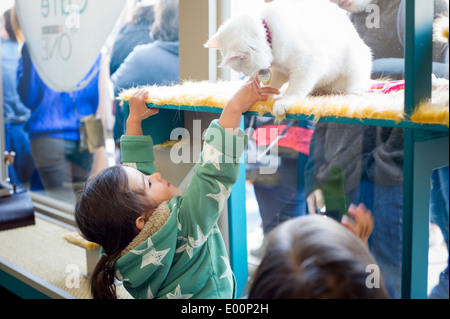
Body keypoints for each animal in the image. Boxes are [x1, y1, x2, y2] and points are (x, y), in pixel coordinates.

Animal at [205, 0, 372, 117]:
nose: (249, 76)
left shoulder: (306, 66)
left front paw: (283, 102)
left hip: (355, 64)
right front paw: (260, 95)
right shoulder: (280, 71)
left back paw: (355, 90)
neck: (270, 37)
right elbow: (272, 85)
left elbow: (295, 89)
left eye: (244, 70)